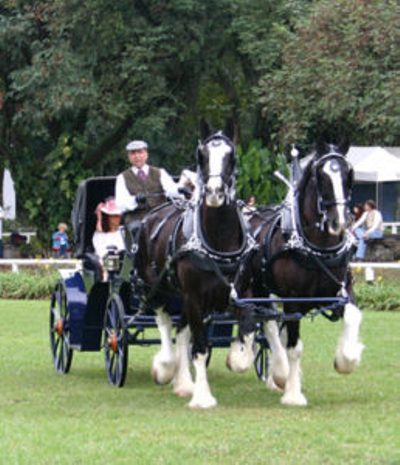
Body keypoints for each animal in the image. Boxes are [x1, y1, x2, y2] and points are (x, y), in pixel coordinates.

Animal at [138, 132, 255, 408]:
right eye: (202, 156)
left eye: (231, 156)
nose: (214, 192)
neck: (219, 243)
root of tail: (150, 215)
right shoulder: (194, 297)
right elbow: (200, 348)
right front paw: (202, 397)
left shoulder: (239, 293)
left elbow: (247, 331)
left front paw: (237, 357)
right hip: (156, 288)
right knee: (165, 322)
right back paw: (166, 367)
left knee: (181, 331)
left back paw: (183, 383)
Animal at [250, 142, 366, 406]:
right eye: (320, 176)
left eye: (349, 174)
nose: (338, 222)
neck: (317, 248)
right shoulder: (293, 300)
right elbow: (294, 347)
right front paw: (293, 393)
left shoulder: (342, 291)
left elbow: (353, 316)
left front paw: (347, 359)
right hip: (259, 289)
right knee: (268, 323)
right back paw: (279, 372)